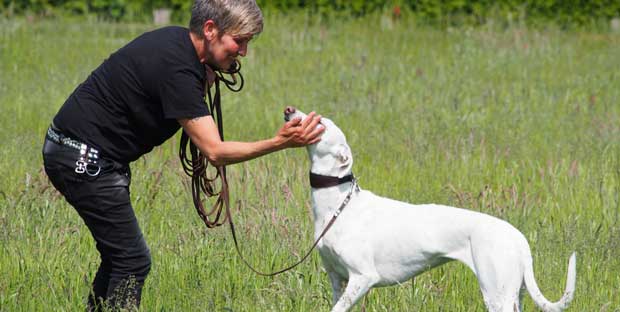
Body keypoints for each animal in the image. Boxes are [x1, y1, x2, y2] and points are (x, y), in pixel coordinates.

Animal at [286, 108, 576, 312]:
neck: (338, 205)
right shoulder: (338, 279)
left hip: (497, 293)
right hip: (515, 293)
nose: (289, 110)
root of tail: (518, 238)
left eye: (320, 122)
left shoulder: (363, 277)